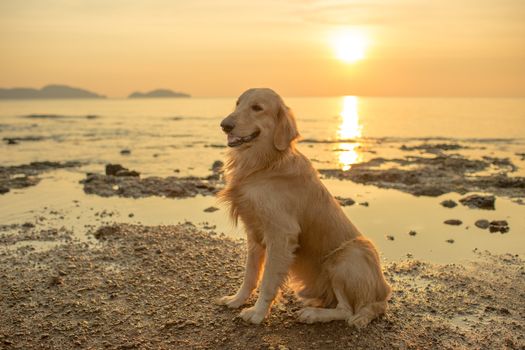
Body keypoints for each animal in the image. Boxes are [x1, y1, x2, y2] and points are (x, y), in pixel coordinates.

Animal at [215, 88, 390, 328]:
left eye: (257, 108)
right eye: (237, 104)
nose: (225, 125)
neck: (264, 164)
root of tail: (382, 296)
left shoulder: (281, 235)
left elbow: (268, 281)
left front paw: (258, 313)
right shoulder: (254, 233)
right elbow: (250, 275)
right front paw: (237, 299)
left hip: (346, 256)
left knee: (347, 311)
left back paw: (313, 314)